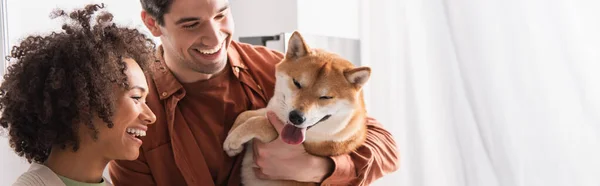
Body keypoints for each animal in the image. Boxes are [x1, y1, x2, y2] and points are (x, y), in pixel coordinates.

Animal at [221, 31, 370, 185]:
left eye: (326, 97)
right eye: (297, 83)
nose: (296, 117)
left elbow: (259, 122)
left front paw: (233, 140)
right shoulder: (272, 110)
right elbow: (246, 114)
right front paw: (233, 131)